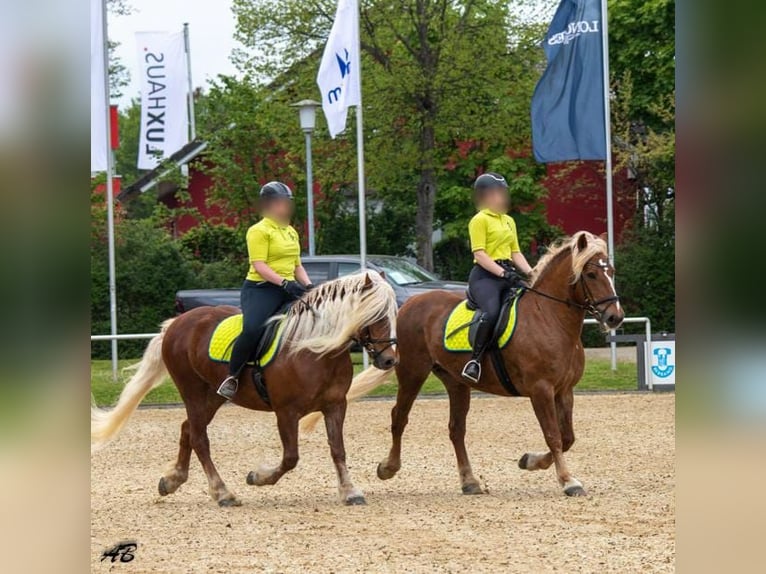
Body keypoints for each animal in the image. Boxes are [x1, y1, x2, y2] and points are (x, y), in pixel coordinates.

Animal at [93, 274, 400, 508]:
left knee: (188, 429)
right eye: (376, 315)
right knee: (199, 438)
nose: (389, 360)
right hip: (192, 390)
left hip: (213, 396)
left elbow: (338, 450)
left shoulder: (335, 405)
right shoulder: (286, 412)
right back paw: (222, 493)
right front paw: (258, 477)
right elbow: (290, 457)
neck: (314, 348)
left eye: (394, 314)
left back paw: (173, 480)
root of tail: (176, 324)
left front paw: (350, 491)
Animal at [308, 232, 628, 498]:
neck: (550, 318)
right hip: (412, 373)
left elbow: (567, 436)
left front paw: (530, 461)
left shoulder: (564, 390)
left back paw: (469, 481)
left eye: (611, 272)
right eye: (591, 274)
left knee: (456, 429)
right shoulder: (541, 390)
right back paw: (388, 468)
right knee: (399, 417)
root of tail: (409, 304)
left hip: (456, 382)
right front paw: (568, 481)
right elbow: (554, 436)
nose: (615, 317)